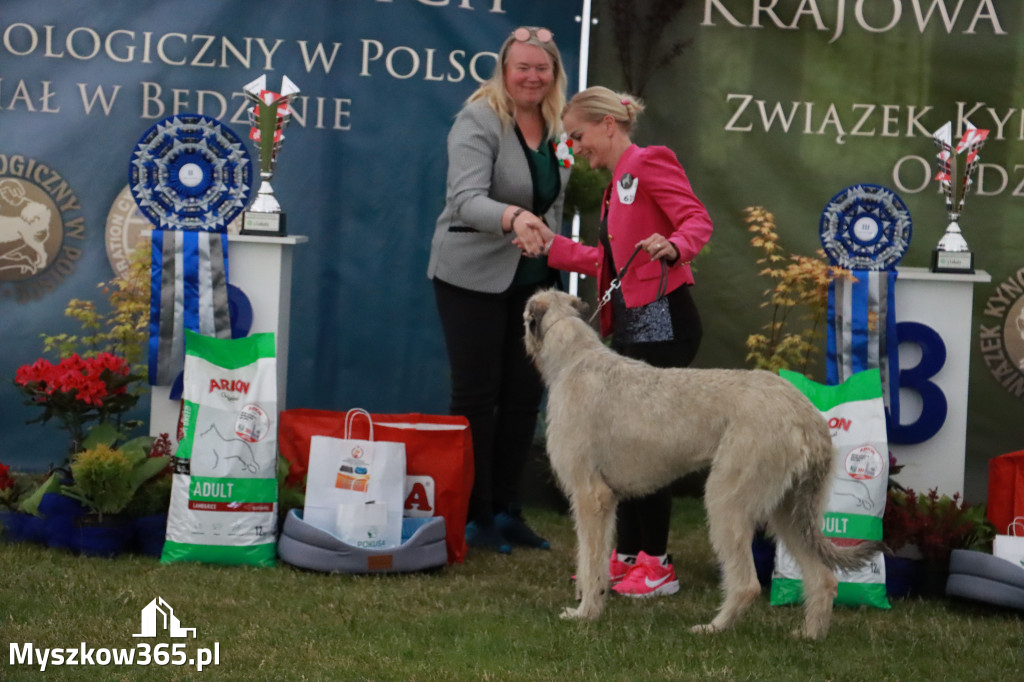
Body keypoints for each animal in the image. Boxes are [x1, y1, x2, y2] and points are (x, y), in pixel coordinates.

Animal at [528, 288, 880, 638]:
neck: (575, 357)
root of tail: (808, 416)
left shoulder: (591, 497)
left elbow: (590, 562)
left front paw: (585, 613)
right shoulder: (606, 499)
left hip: (727, 500)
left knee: (748, 584)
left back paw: (714, 628)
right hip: (788, 510)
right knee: (824, 577)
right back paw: (809, 635)